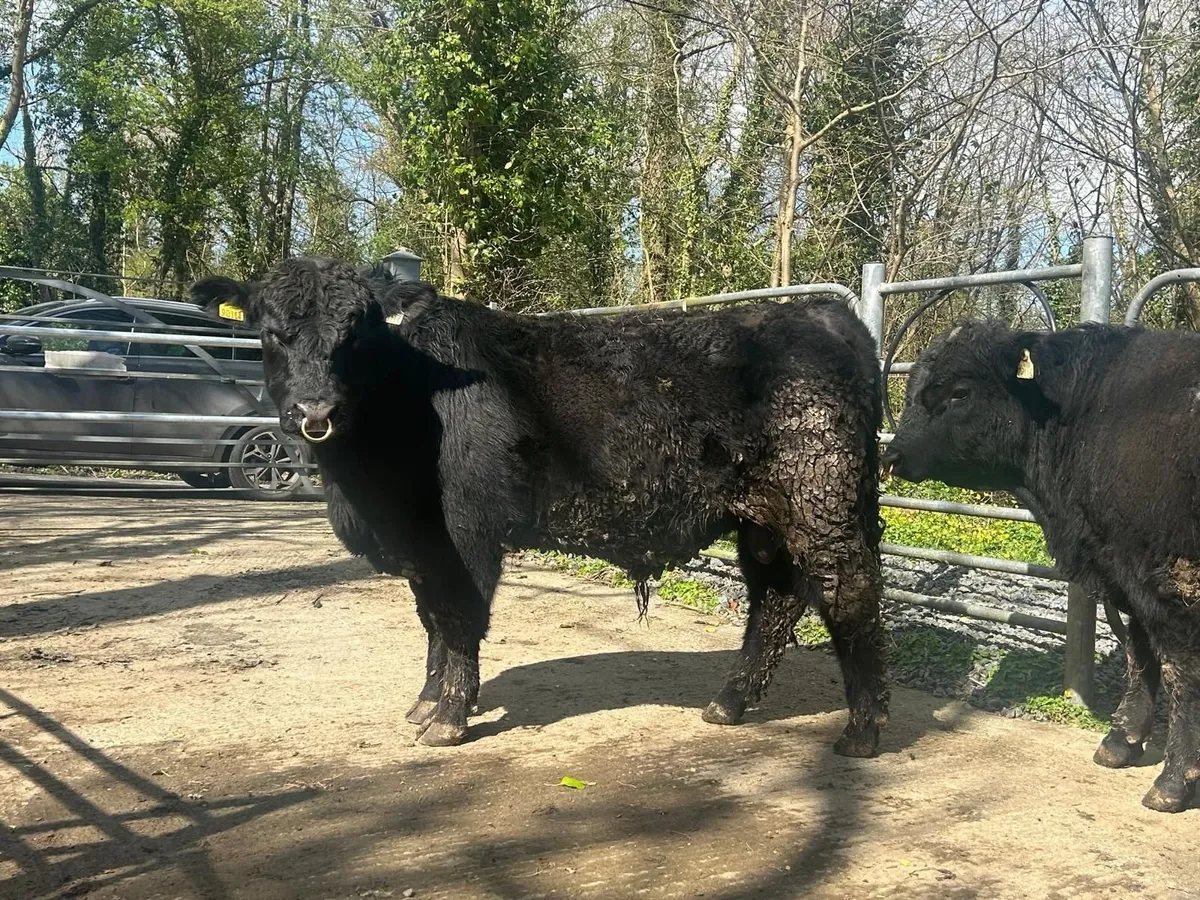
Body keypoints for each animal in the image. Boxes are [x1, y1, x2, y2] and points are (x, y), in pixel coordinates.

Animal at [191, 258, 889, 756]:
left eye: (354, 336)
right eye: (272, 333)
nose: (316, 412)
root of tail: (825, 314)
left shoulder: (466, 533)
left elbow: (458, 622)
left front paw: (447, 719)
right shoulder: (421, 546)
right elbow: (430, 621)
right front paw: (426, 702)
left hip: (821, 501)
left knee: (850, 592)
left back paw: (863, 730)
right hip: (763, 518)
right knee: (776, 599)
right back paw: (728, 704)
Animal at [881, 319, 1200, 812]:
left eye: (959, 392)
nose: (892, 455)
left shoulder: (1164, 579)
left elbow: (1178, 667)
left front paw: (1174, 780)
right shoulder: (1123, 567)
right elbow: (1139, 649)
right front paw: (1121, 740)